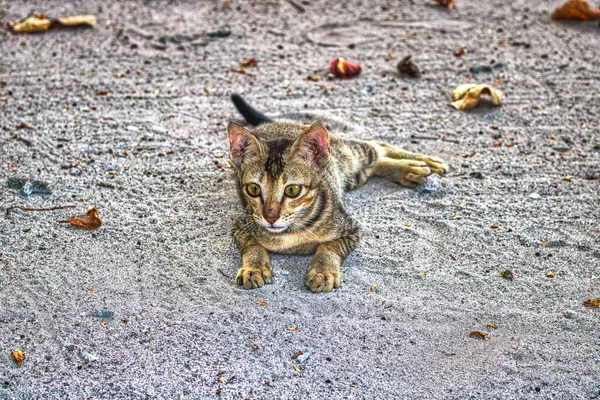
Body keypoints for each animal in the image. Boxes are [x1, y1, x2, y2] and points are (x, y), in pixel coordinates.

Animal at [227, 95, 448, 292]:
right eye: (254, 189)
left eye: (292, 190)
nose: (270, 217)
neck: (291, 233)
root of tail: (277, 123)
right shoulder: (241, 225)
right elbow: (252, 245)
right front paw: (254, 268)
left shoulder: (351, 229)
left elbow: (329, 247)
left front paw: (323, 271)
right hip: (352, 177)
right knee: (374, 164)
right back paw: (409, 171)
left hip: (349, 154)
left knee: (377, 145)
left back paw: (423, 163)